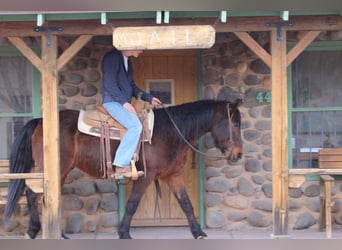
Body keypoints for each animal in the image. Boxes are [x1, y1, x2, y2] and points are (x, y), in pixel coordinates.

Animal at [2, 98, 243, 239]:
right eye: (235, 124)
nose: (238, 155)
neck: (169, 132)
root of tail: (41, 120)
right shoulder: (145, 177)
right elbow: (133, 204)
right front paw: (124, 233)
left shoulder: (173, 175)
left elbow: (186, 204)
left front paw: (198, 232)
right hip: (55, 169)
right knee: (34, 195)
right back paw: (36, 231)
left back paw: (52, 233)